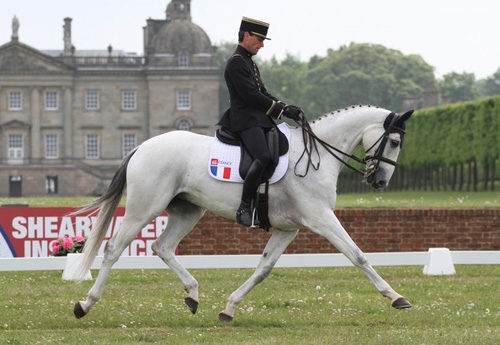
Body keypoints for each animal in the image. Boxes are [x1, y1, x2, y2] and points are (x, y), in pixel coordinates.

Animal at [72, 104, 412, 320]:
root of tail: (141, 146)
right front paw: (397, 297)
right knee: (114, 248)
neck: (315, 157)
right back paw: (85, 304)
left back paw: (193, 295)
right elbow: (358, 255)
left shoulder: (288, 228)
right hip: (145, 207)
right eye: (395, 141)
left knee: (162, 246)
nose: (380, 181)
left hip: (188, 210)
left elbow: (263, 269)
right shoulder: (321, 218)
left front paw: (229, 308)